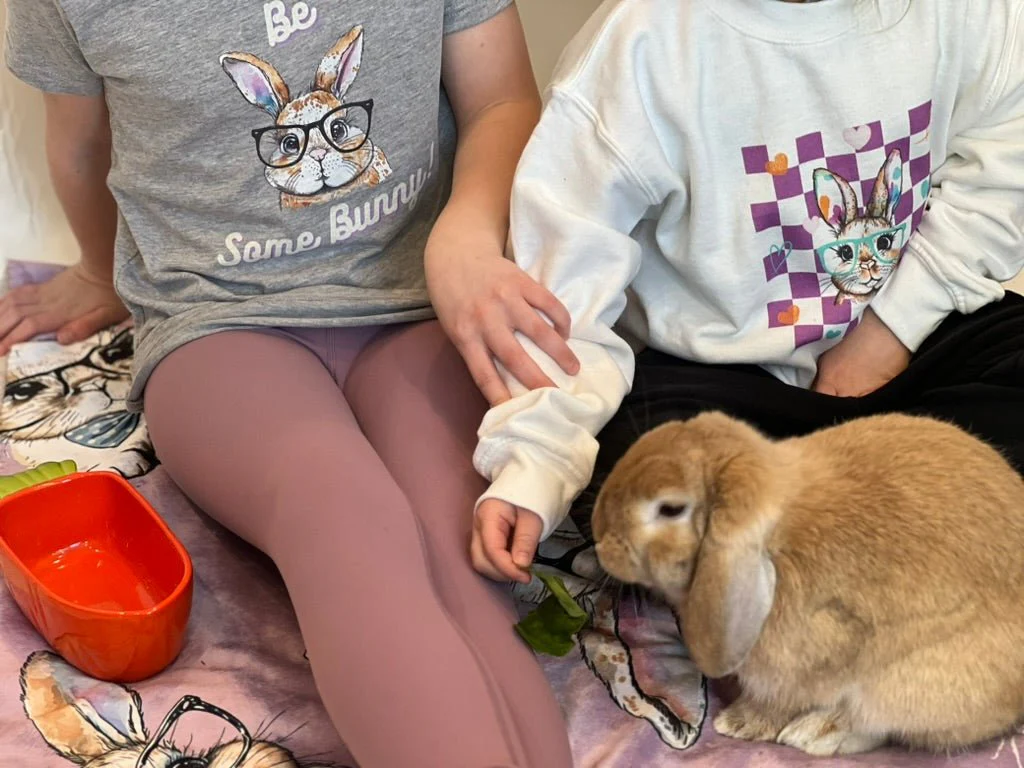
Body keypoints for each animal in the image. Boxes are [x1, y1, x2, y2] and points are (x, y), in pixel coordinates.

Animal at [592, 411, 1024, 757]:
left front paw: (739, 723)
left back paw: (814, 735)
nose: (598, 535)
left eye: (669, 509)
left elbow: (781, 701)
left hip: (914, 685)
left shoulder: (803, 667)